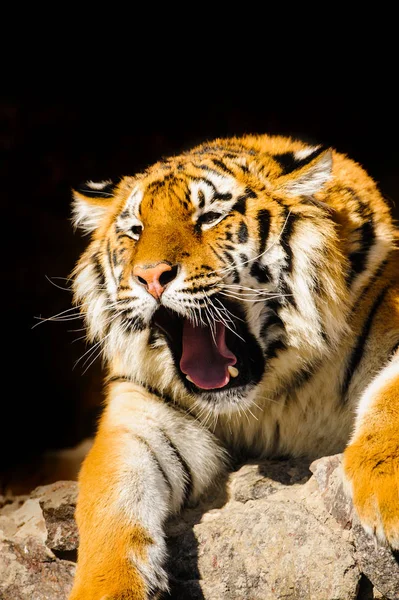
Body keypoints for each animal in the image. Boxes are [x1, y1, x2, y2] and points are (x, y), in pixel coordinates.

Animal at [69, 135, 399, 600]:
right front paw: (106, 587)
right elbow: (109, 498)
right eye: (134, 230)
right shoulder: (142, 412)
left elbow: (390, 397)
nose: (149, 277)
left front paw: (389, 494)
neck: (272, 393)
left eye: (209, 217)